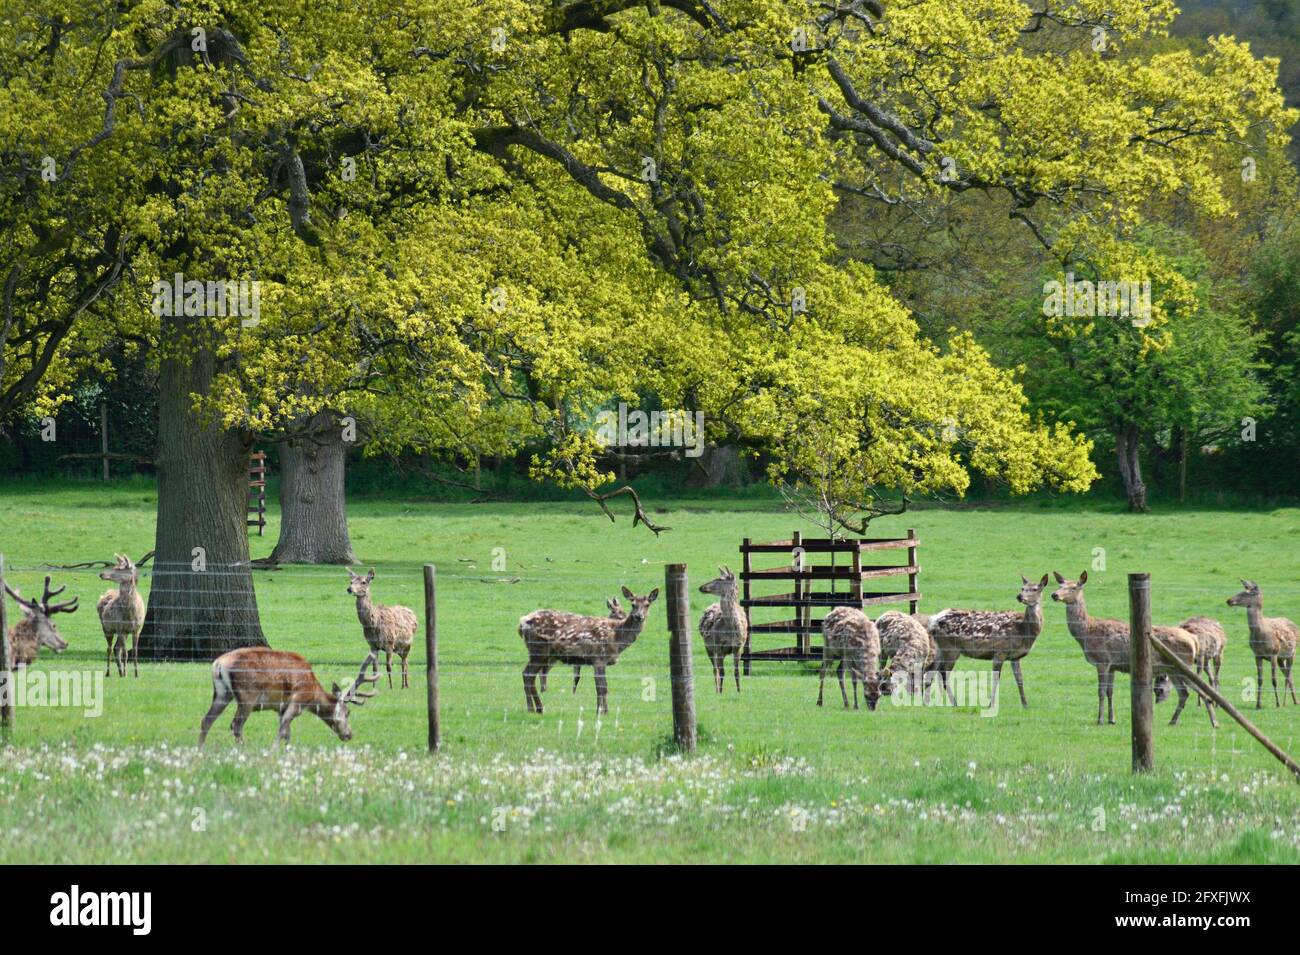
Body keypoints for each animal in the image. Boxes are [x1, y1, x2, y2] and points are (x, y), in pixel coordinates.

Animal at [198, 647, 379, 746]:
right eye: (347, 713)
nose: (349, 734)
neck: (312, 693)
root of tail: (218, 664)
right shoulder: (297, 702)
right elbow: (283, 730)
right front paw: (272, 753)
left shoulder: (281, 708)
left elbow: (287, 733)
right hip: (247, 697)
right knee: (236, 725)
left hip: (222, 693)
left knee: (207, 719)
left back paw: (200, 751)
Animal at [519, 586, 659, 715]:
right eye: (633, 604)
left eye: (647, 604)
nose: (639, 616)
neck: (617, 638)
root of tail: (521, 623)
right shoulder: (599, 657)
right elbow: (602, 687)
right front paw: (603, 712)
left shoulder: (598, 661)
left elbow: (600, 686)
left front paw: (600, 710)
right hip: (539, 649)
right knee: (529, 674)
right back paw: (538, 708)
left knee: (528, 674)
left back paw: (532, 708)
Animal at [928, 574, 1048, 709]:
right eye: (1022, 588)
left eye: (1035, 589)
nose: (1020, 596)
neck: (1024, 630)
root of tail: (933, 620)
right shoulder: (1000, 651)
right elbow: (996, 679)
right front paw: (991, 704)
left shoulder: (1015, 656)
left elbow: (1020, 679)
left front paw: (1025, 705)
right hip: (950, 648)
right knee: (943, 672)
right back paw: (954, 702)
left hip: (940, 648)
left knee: (932, 669)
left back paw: (931, 701)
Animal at [1051, 571, 1214, 727]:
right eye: (1060, 585)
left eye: (1073, 587)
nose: (1054, 594)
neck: (1086, 634)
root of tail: (1194, 640)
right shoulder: (1112, 666)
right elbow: (1110, 691)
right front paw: (1112, 719)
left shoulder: (1102, 660)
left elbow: (1101, 691)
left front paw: (1100, 720)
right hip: (1173, 668)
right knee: (1184, 693)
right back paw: (1174, 721)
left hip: (1182, 665)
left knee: (1199, 690)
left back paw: (1212, 722)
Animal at [1226, 580, 1298, 708]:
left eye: (1247, 593)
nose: (1229, 600)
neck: (1260, 636)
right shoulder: (1257, 655)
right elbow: (1260, 679)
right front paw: (1258, 705)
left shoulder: (1273, 653)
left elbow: (1274, 679)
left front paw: (1277, 703)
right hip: (1281, 658)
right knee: (1289, 675)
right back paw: (1294, 701)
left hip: (1292, 653)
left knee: (1288, 676)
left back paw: (1286, 702)